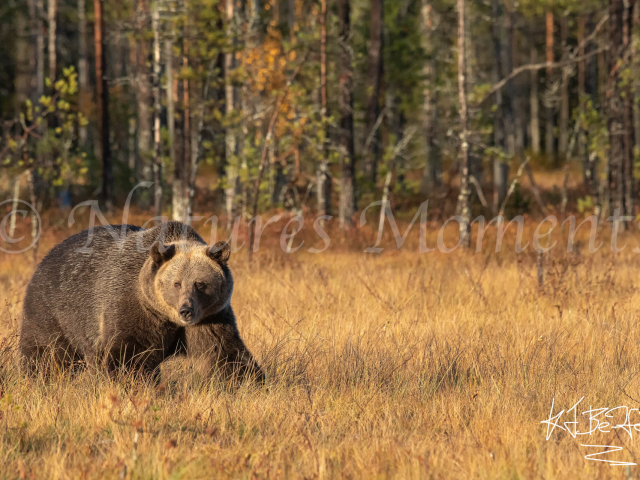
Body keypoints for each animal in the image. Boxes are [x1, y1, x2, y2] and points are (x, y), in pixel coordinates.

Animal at [20, 221, 262, 382]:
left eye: (200, 283)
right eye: (176, 283)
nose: (186, 310)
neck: (167, 317)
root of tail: (46, 256)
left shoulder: (210, 317)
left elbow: (225, 353)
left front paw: (250, 381)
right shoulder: (133, 308)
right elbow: (130, 356)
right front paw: (134, 383)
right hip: (53, 312)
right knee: (46, 354)